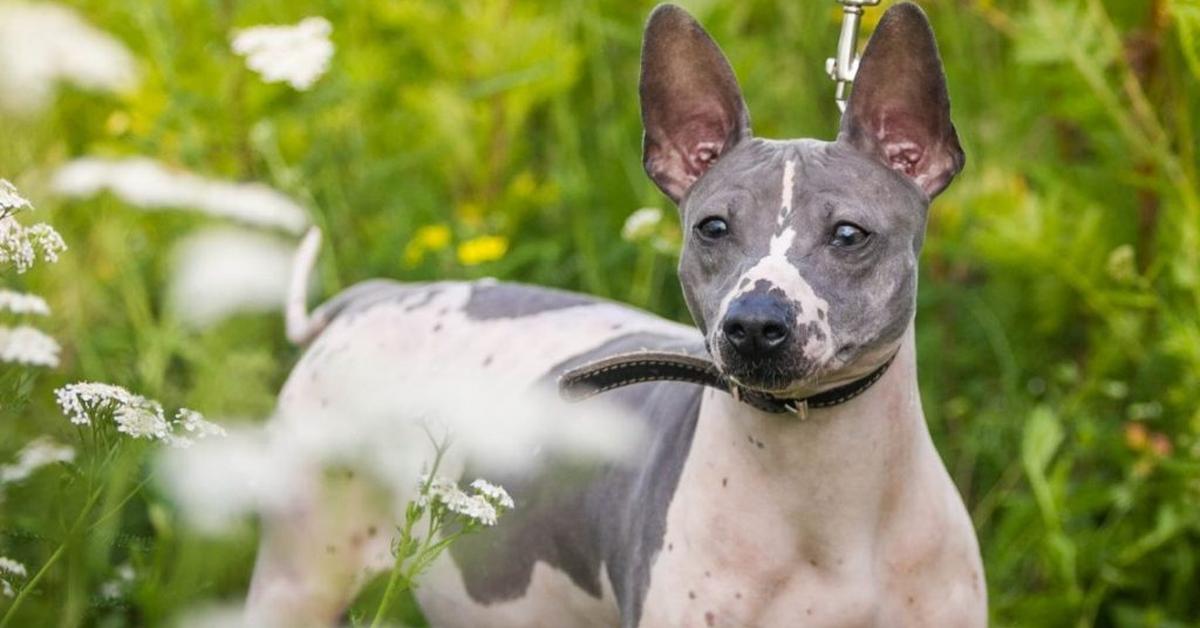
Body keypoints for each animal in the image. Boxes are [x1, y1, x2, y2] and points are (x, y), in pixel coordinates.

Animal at [243, 2, 984, 624]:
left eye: (849, 234)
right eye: (713, 228)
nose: (752, 323)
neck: (828, 498)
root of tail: (375, 296)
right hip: (296, 578)